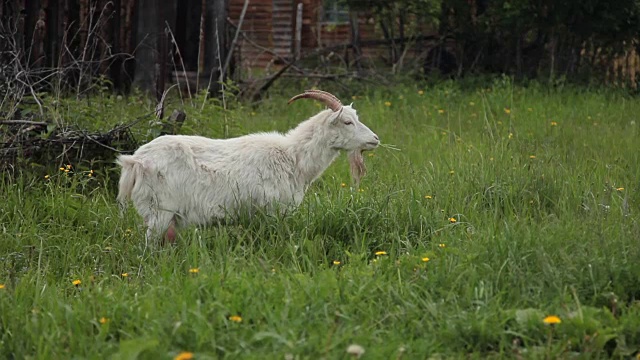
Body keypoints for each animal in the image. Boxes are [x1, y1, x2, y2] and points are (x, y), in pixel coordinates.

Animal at [116, 89, 380, 245]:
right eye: (347, 122)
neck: (292, 158)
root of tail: (135, 161)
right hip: (159, 211)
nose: (375, 139)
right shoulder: (273, 210)